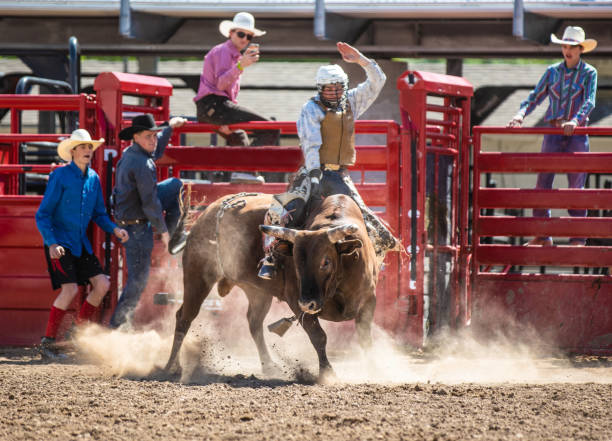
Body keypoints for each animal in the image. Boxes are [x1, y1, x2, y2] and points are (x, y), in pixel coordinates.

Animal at [165, 192, 380, 378]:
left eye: (325, 262)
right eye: (296, 262)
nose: (307, 303)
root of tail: (208, 212)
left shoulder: (369, 300)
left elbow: (365, 339)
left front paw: (373, 370)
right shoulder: (295, 300)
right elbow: (318, 337)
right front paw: (327, 374)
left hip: (257, 292)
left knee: (254, 323)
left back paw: (269, 366)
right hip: (197, 277)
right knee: (184, 318)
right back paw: (171, 367)